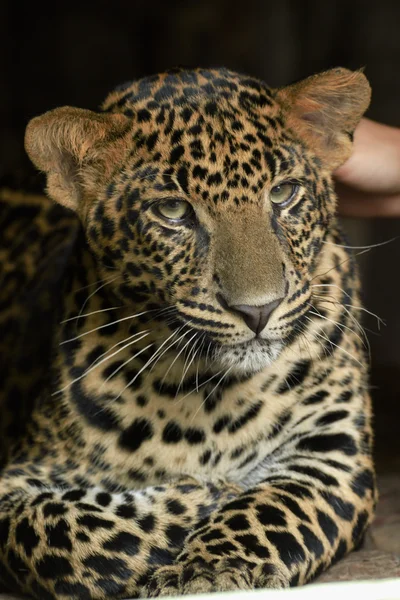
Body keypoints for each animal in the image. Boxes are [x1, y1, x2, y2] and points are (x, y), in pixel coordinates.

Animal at [0, 67, 376, 600]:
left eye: (283, 194)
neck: (207, 397)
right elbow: (56, 532)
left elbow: (270, 508)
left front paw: (209, 567)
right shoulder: (23, 475)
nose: (258, 310)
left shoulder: (330, 450)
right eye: (174, 212)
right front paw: (203, 492)